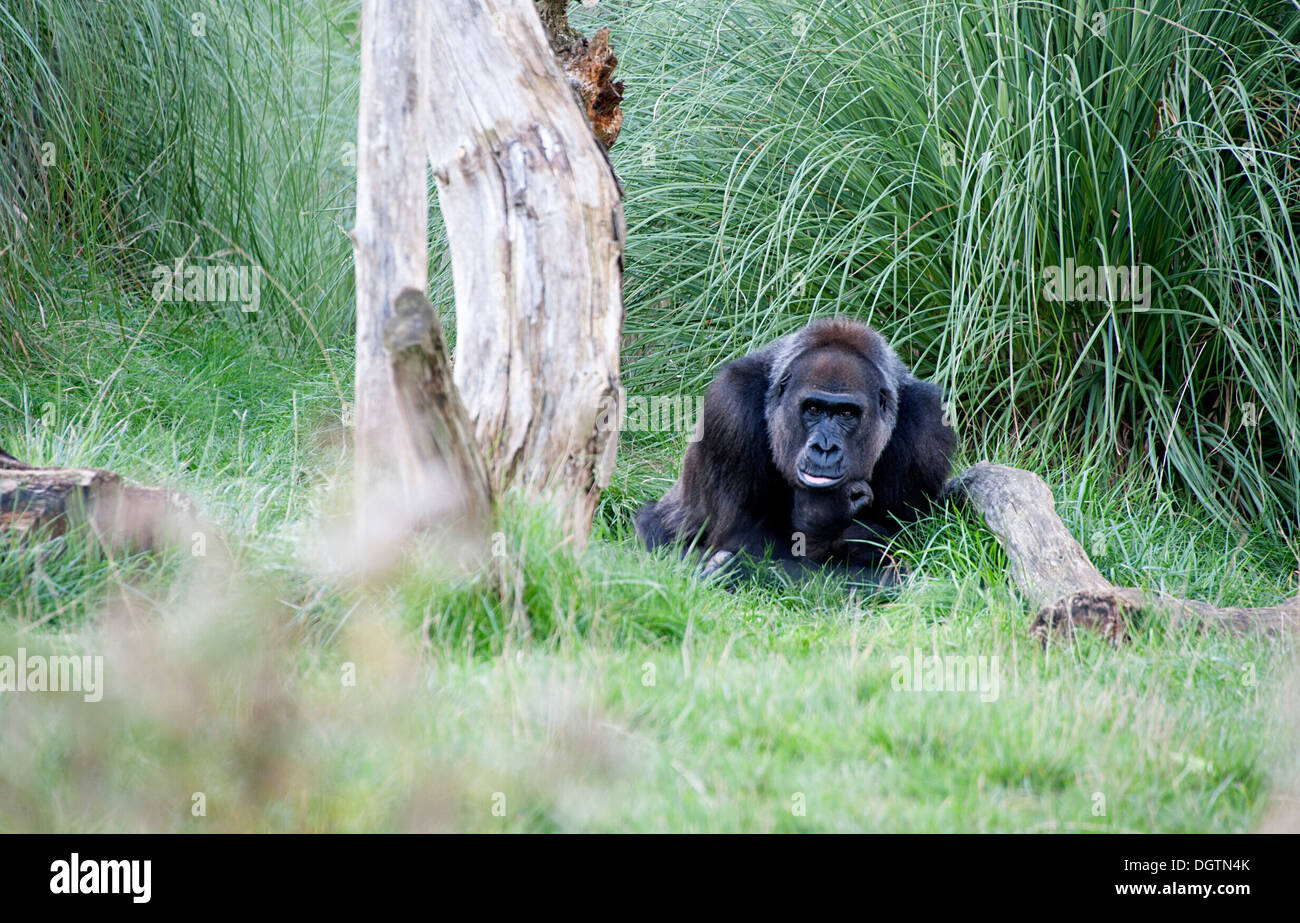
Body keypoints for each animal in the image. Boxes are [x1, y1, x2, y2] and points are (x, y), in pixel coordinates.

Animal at [637, 318, 956, 577]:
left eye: (847, 413)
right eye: (812, 408)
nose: (824, 448)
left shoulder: (928, 425)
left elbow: (901, 548)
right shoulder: (729, 408)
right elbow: (743, 543)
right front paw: (822, 514)